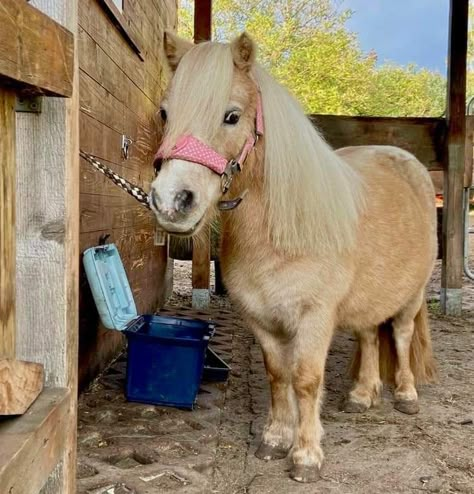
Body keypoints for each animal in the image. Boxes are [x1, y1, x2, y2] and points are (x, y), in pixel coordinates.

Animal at [151, 30, 436, 482]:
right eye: (165, 113)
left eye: (231, 116)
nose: (171, 202)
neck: (282, 232)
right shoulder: (260, 318)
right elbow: (277, 374)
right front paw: (274, 438)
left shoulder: (314, 318)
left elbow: (305, 380)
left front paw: (305, 456)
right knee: (370, 336)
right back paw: (362, 395)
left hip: (412, 295)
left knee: (402, 335)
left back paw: (406, 395)